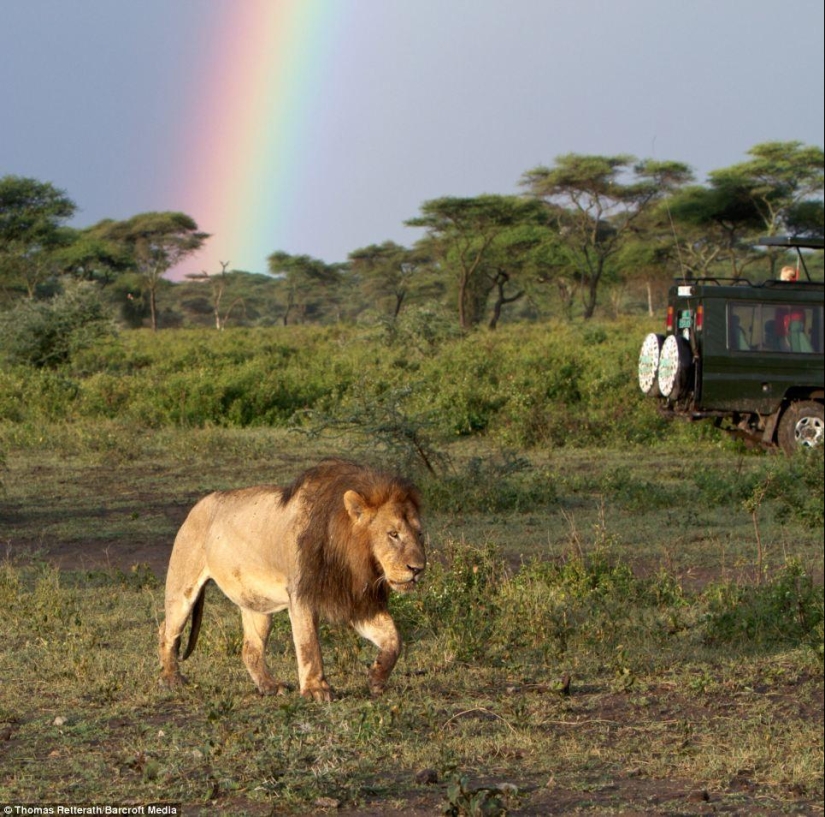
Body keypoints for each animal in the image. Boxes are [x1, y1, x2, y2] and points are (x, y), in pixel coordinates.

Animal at [158, 459, 425, 701]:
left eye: (419, 534)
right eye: (393, 534)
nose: (418, 568)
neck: (354, 559)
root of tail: (199, 504)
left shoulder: (356, 601)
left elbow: (394, 639)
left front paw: (376, 679)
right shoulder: (302, 596)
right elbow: (309, 645)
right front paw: (316, 690)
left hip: (257, 604)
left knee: (250, 649)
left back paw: (269, 686)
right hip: (182, 589)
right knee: (167, 630)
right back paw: (172, 679)